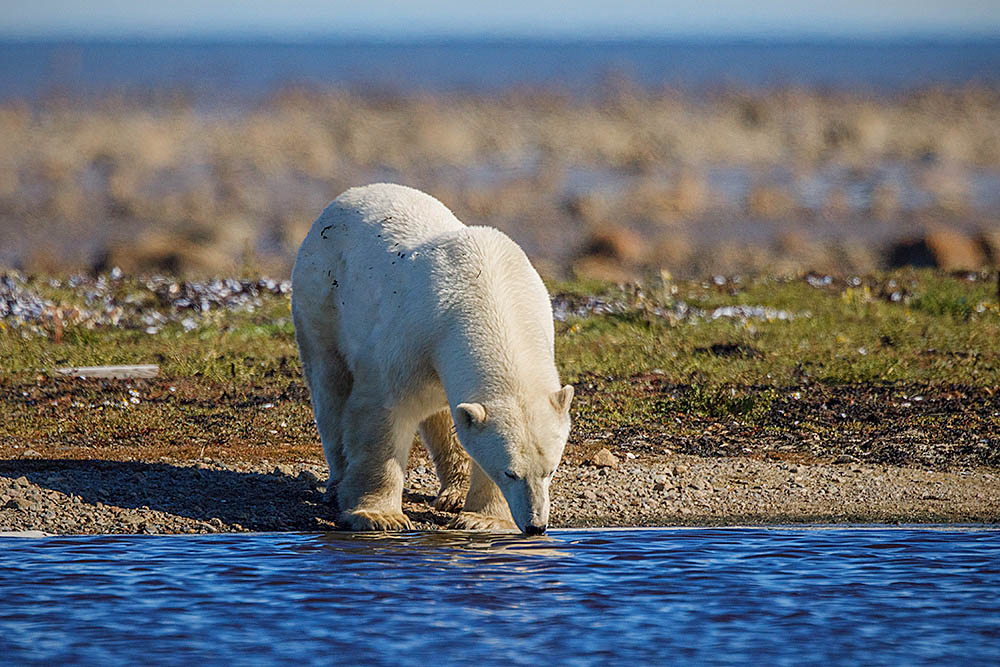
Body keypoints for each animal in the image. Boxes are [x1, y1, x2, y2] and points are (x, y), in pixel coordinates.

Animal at [292, 184, 572, 536]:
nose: (537, 526)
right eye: (510, 472)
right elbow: (383, 415)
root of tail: (345, 197)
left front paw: (483, 519)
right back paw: (337, 483)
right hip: (321, 298)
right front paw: (379, 516)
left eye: (551, 470)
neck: (487, 293)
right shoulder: (412, 335)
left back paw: (453, 494)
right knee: (330, 388)